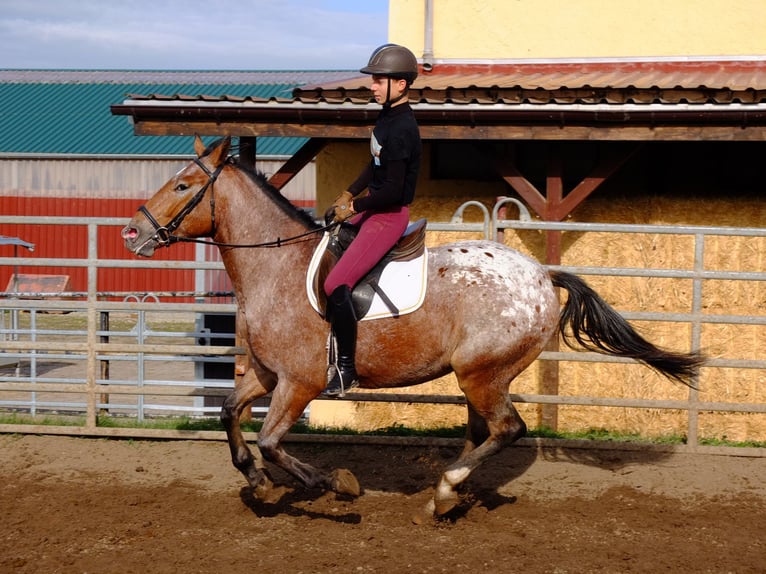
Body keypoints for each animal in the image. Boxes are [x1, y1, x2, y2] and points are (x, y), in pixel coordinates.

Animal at [123, 136, 704, 520]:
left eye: (182, 184)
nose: (132, 233)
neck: (276, 266)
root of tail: (542, 274)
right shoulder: (269, 376)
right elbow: (228, 414)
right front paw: (257, 481)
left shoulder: (300, 383)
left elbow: (270, 441)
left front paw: (337, 484)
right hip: (482, 377)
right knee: (485, 431)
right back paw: (455, 491)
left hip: (481, 373)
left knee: (507, 429)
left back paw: (446, 489)